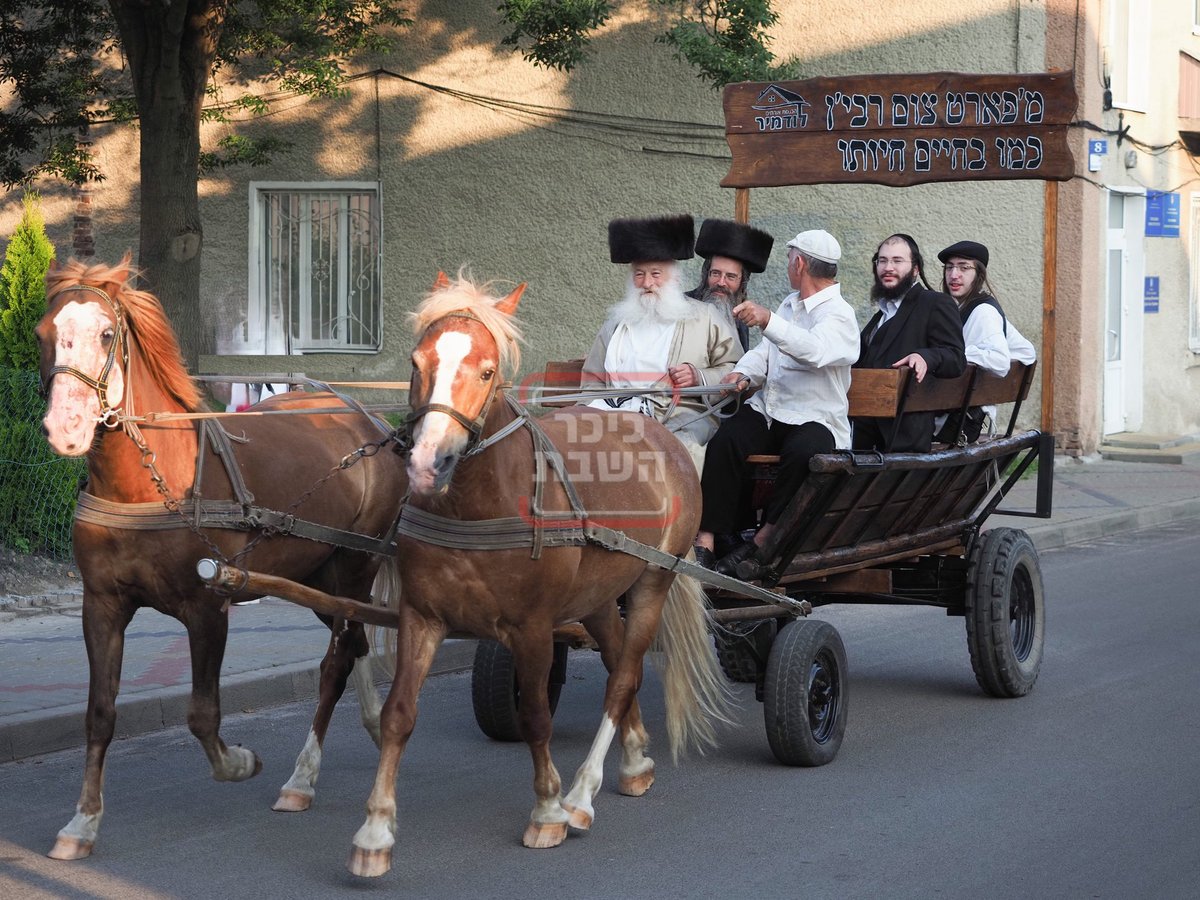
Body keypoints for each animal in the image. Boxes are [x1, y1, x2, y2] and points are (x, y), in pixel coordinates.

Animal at [36, 256, 408, 864]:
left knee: (333, 664)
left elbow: (202, 714)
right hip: (316, 577)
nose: (65, 428)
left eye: (108, 335)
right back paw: (374, 724)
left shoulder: (208, 608)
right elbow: (100, 714)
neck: (152, 482)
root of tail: (371, 424)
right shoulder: (102, 606)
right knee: (353, 641)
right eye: (44, 333)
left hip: (355, 567)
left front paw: (238, 761)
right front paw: (81, 823)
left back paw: (301, 779)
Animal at [348, 273, 729, 883]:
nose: (428, 463)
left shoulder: (531, 628)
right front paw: (375, 832)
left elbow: (535, 716)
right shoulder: (421, 616)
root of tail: (658, 432)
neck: (478, 504)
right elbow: (399, 715)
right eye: (417, 361)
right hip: (597, 597)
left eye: (486, 371)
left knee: (623, 678)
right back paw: (635, 760)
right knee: (618, 662)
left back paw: (581, 794)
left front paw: (548, 809)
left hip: (653, 582)